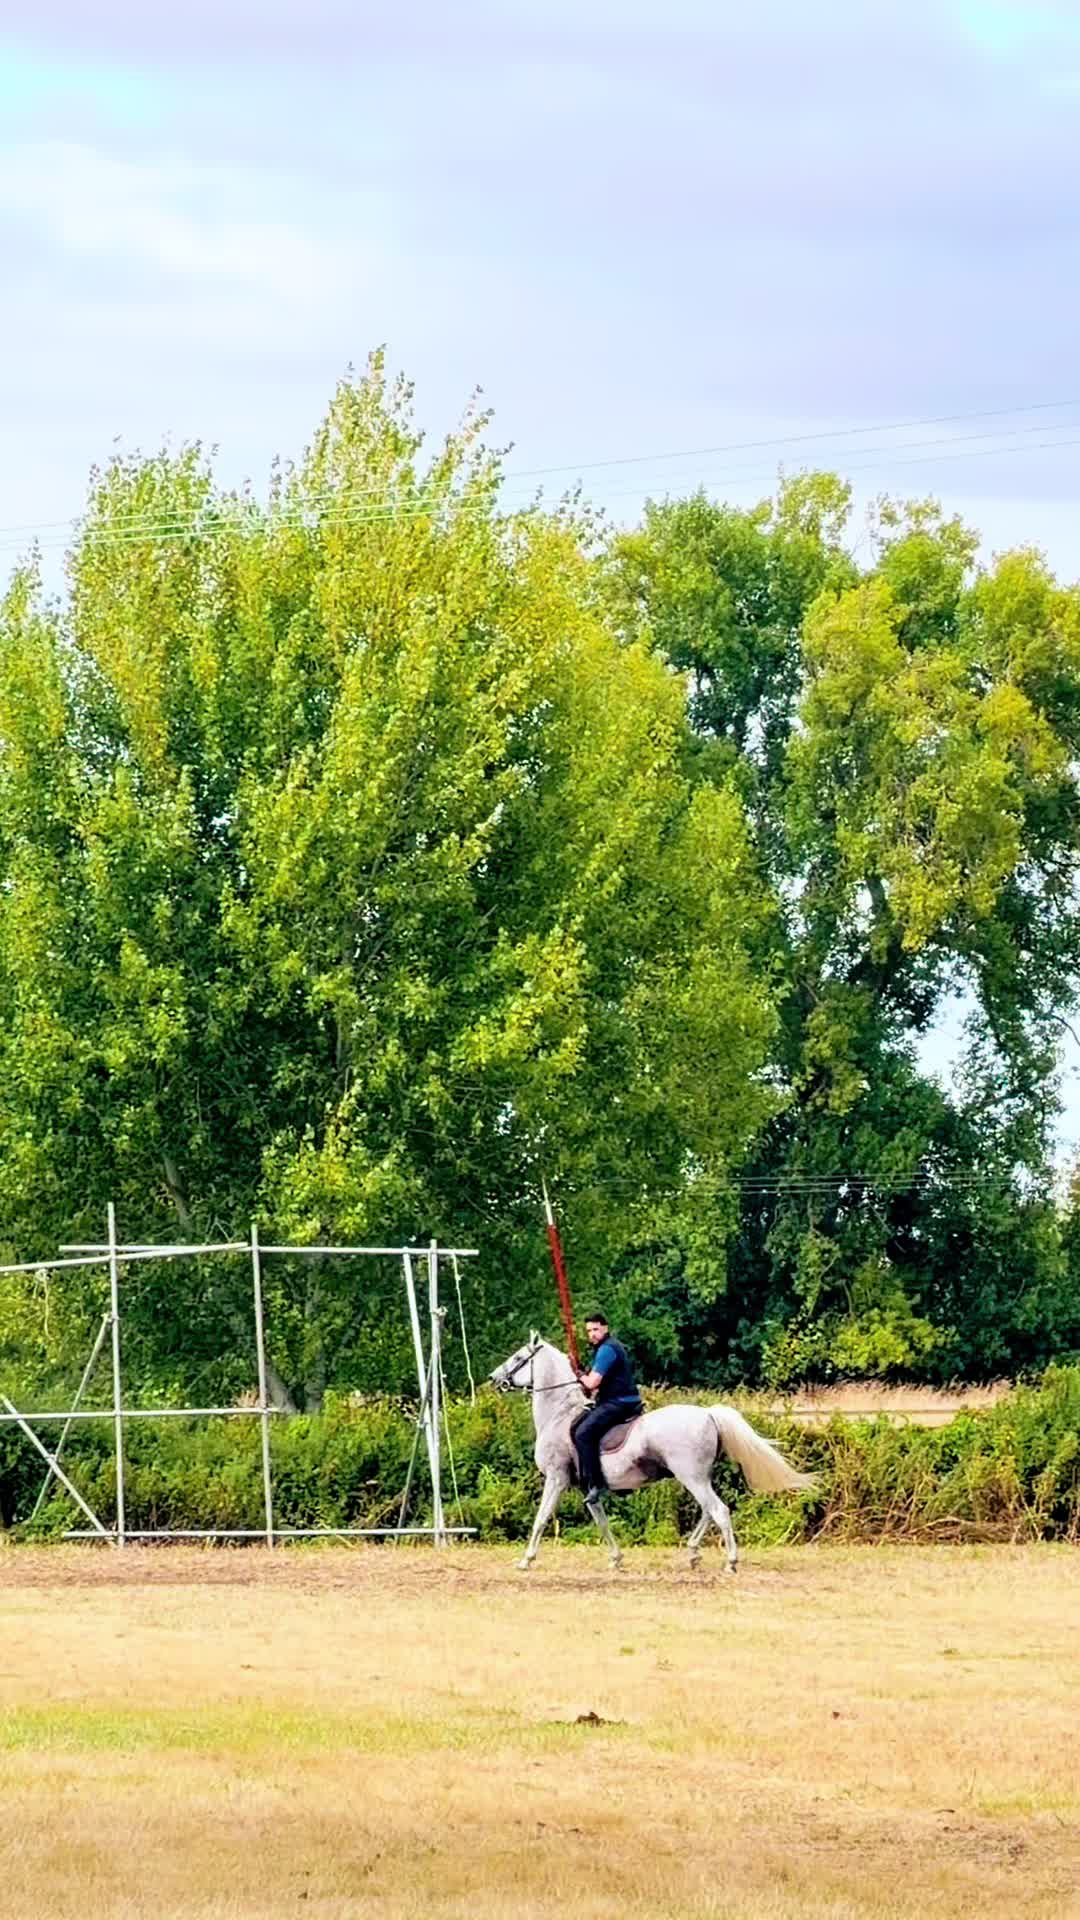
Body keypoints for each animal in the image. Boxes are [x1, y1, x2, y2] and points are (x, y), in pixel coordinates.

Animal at [490, 1336, 815, 1573]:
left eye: (519, 1358)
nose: (494, 1378)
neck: (558, 1414)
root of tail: (708, 1414)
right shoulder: (588, 1488)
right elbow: (602, 1522)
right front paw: (616, 1559)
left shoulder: (556, 1480)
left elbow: (541, 1518)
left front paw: (526, 1560)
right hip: (698, 1477)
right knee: (708, 1510)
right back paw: (693, 1553)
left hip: (691, 1477)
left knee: (718, 1510)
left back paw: (730, 1563)